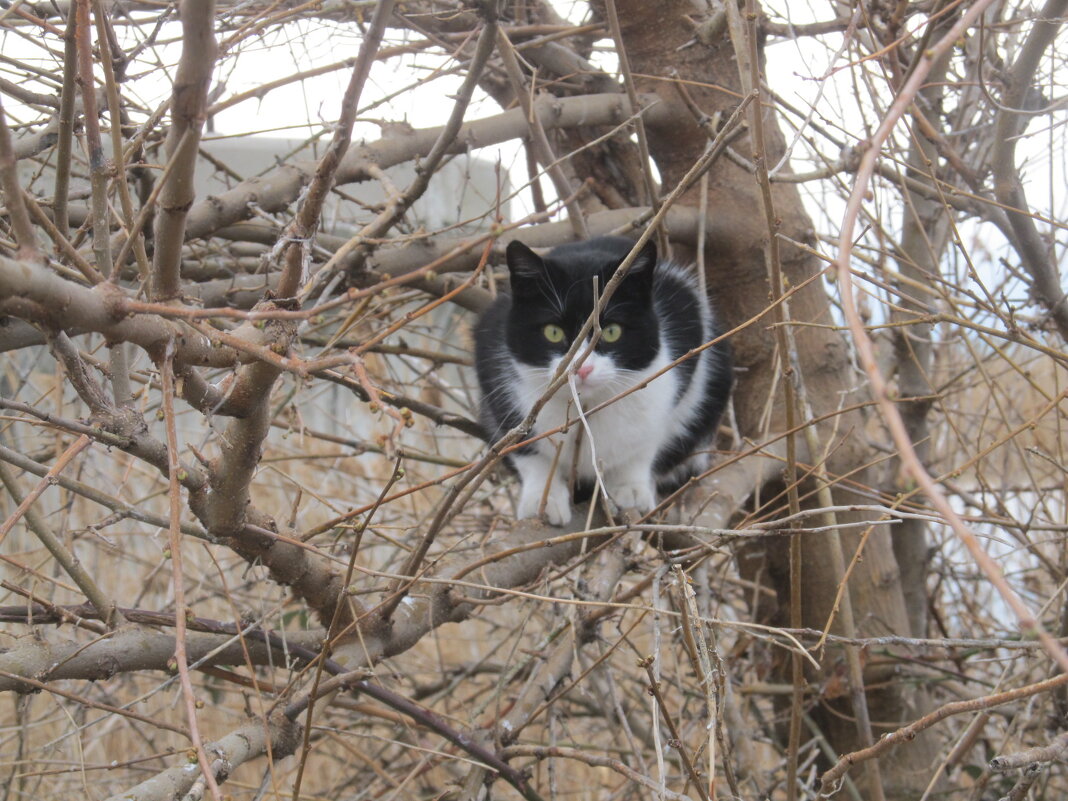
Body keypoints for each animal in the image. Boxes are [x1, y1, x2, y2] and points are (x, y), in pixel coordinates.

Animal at [478, 234, 734, 529]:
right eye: (553, 332)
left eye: (611, 331)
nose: (583, 368)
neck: (589, 405)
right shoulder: (493, 366)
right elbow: (526, 448)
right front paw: (543, 498)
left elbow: (646, 441)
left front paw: (630, 487)